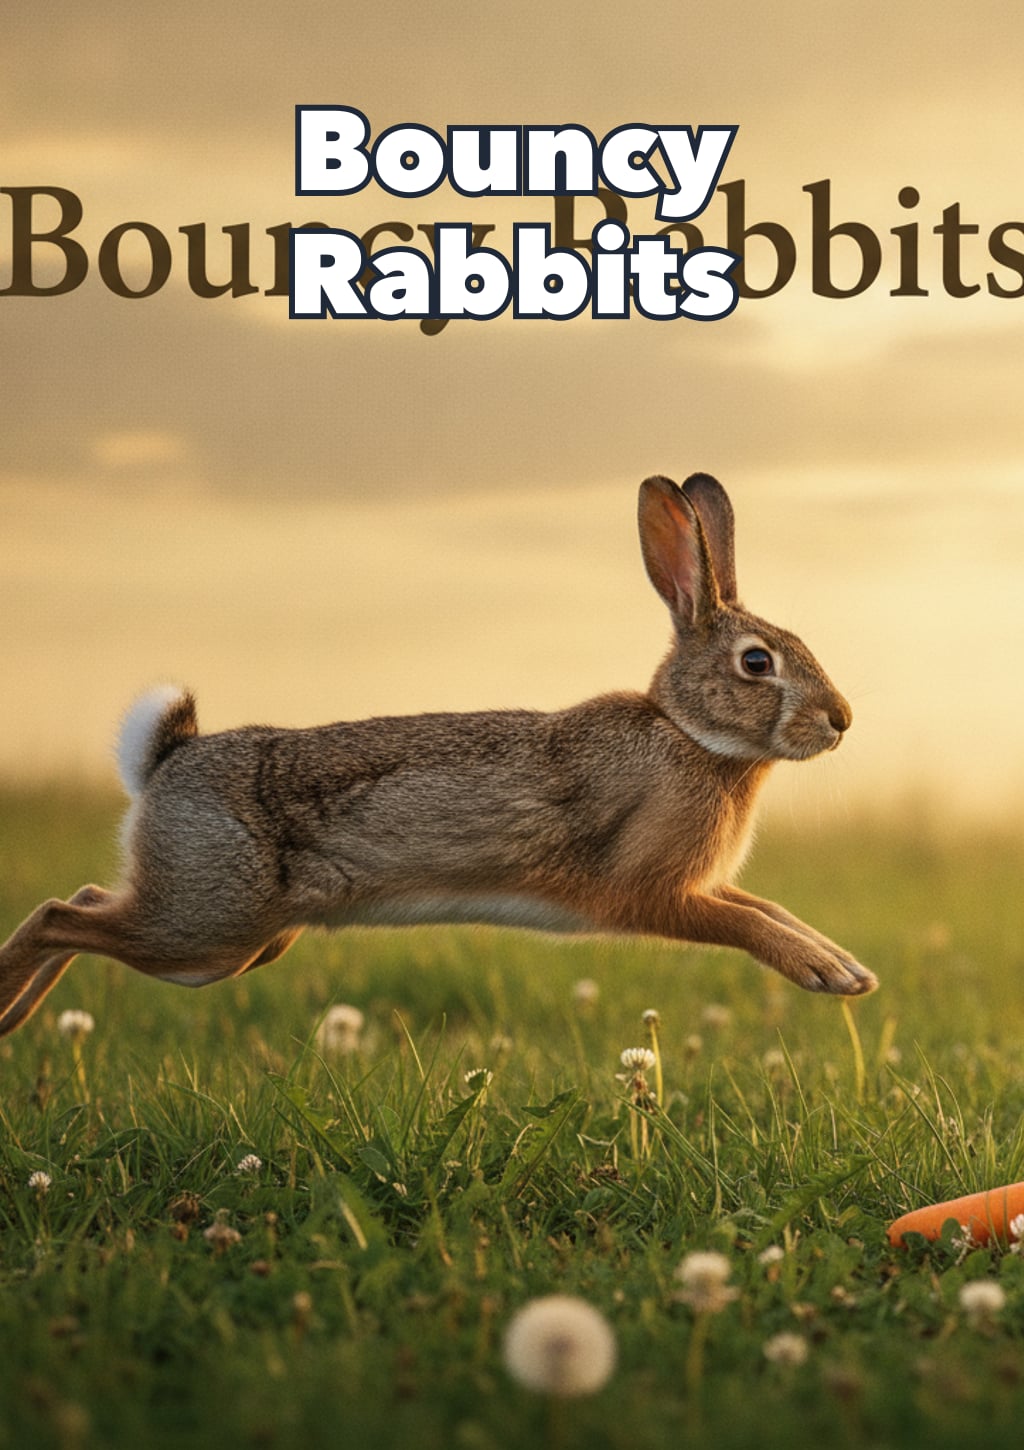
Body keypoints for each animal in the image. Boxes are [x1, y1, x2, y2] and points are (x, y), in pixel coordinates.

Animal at [0, 472, 876, 1037]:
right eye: (757, 663)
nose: (840, 720)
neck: (689, 735)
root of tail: (163, 760)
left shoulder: (700, 884)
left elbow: (766, 908)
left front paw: (845, 965)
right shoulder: (648, 891)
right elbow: (742, 922)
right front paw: (826, 975)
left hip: (228, 947)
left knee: (81, 904)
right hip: (206, 924)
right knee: (54, 917)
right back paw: (8, 1019)